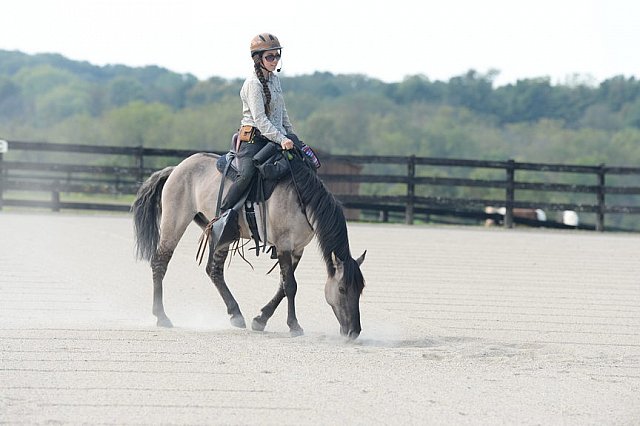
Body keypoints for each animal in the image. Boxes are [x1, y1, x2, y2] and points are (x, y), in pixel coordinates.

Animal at [131, 150, 364, 340]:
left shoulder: (297, 250)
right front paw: (294, 326)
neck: (301, 200)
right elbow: (290, 286)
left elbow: (282, 286)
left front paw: (260, 320)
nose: (354, 332)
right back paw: (161, 316)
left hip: (220, 232)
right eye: (342, 289)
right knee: (160, 263)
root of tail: (175, 169)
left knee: (214, 270)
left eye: (361, 289)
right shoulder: (284, 246)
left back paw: (235, 314)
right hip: (174, 222)